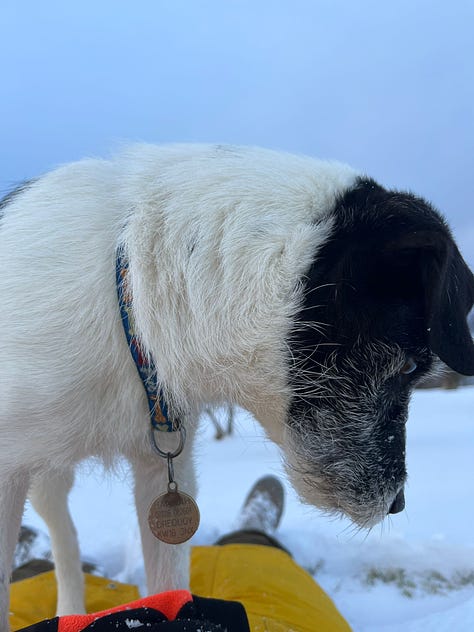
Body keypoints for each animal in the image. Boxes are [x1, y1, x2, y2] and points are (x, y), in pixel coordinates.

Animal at [0, 144, 474, 628]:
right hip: (46, 474)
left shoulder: (162, 469)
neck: (134, 298)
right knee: (64, 535)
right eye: (410, 366)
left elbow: (168, 585)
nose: (398, 503)